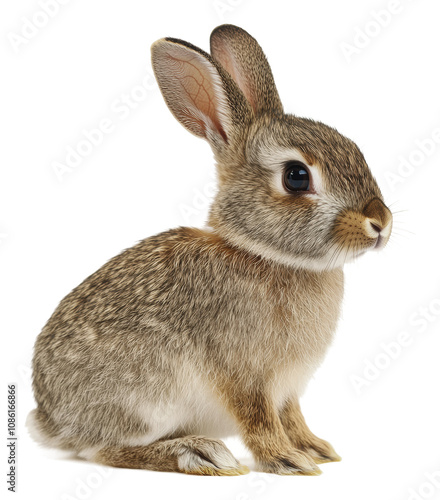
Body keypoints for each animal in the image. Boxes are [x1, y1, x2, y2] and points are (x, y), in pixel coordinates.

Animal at [26, 24, 392, 476]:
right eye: (296, 176)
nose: (380, 222)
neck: (264, 254)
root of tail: (52, 421)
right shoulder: (244, 377)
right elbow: (258, 419)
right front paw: (287, 460)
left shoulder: (287, 387)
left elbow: (291, 415)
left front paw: (315, 447)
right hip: (145, 401)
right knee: (105, 450)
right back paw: (198, 452)